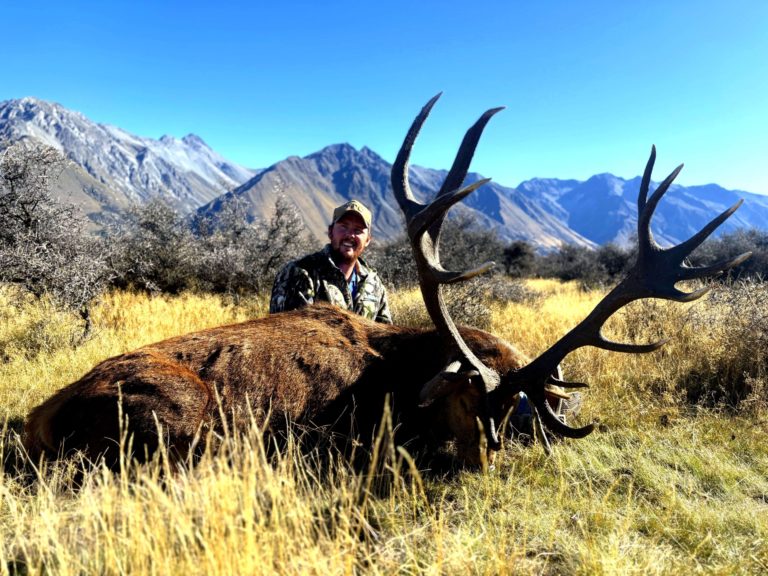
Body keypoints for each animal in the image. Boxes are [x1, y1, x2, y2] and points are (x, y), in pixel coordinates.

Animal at [23, 94, 750, 469]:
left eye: (515, 411)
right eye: (470, 403)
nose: (480, 465)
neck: (401, 377)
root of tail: (37, 418)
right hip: (182, 415)